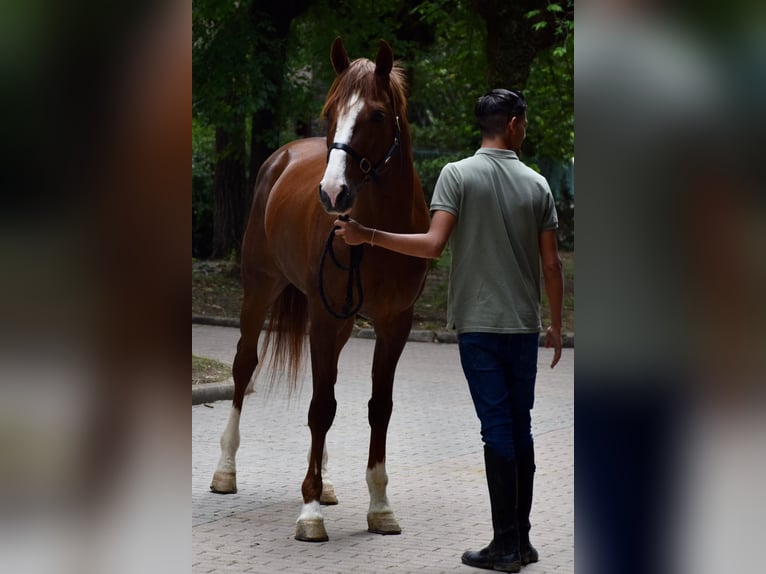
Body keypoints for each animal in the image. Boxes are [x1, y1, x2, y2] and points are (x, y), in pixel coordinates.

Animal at [210, 37, 432, 544]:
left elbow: (377, 407)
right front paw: (309, 512)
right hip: (260, 292)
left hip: (340, 321)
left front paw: (380, 507)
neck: (378, 233)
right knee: (244, 367)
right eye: (330, 111)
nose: (333, 193)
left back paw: (326, 481)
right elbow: (320, 408)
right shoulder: (324, 318)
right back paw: (226, 471)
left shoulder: (394, 324)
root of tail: (282, 156)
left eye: (376, 115)